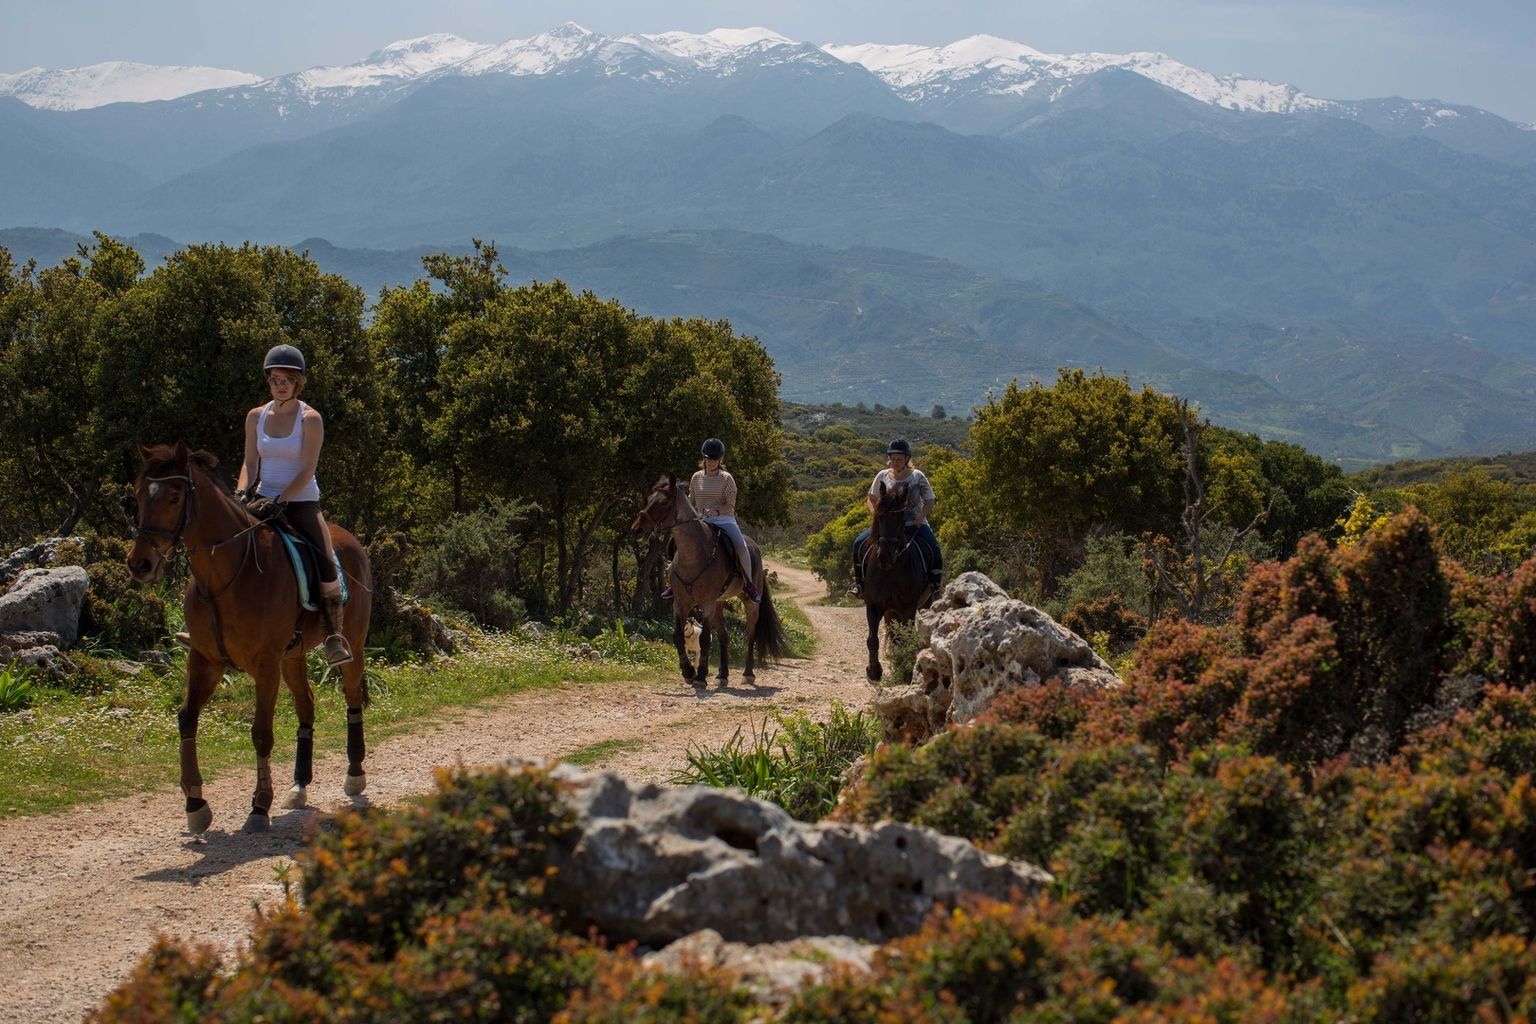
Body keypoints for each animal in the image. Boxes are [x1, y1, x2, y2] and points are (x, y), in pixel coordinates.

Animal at [127, 442, 373, 835]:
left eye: (175, 496)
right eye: (138, 494)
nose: (140, 564)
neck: (227, 574)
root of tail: (351, 541)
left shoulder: (265, 665)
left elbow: (261, 732)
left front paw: (259, 806)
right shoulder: (204, 660)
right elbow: (186, 718)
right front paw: (195, 804)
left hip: (352, 644)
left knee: (352, 700)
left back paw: (354, 775)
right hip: (293, 657)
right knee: (307, 706)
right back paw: (299, 786)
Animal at [629, 475, 786, 687]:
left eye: (663, 503)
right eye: (648, 499)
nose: (636, 529)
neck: (694, 555)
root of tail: (753, 546)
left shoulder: (707, 603)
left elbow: (704, 638)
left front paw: (701, 676)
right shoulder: (680, 602)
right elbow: (678, 636)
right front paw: (688, 672)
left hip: (748, 603)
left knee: (750, 634)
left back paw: (748, 674)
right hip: (719, 604)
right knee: (724, 637)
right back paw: (723, 675)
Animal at [860, 482, 927, 681]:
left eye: (900, 519)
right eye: (880, 518)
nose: (885, 557)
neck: (890, 571)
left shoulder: (908, 607)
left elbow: (906, 638)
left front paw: (905, 668)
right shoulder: (873, 605)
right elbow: (872, 640)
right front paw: (874, 671)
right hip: (891, 611)